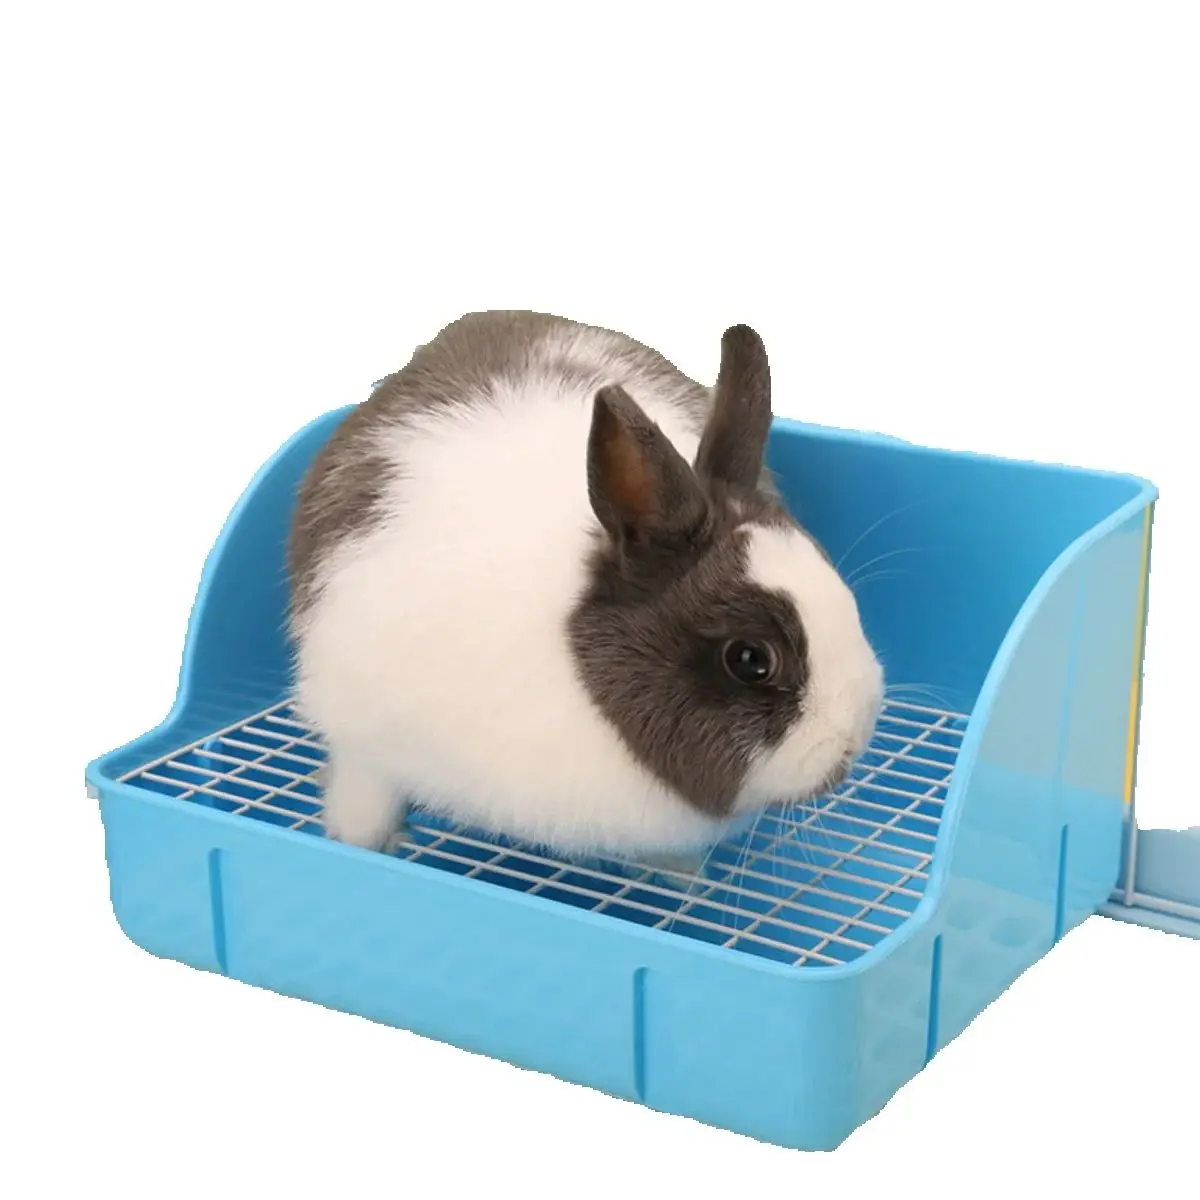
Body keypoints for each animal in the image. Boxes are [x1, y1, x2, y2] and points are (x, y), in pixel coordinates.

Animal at [287, 311, 884, 866]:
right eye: (750, 659)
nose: (853, 737)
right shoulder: (362, 735)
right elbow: (364, 790)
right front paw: (363, 841)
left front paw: (678, 872)